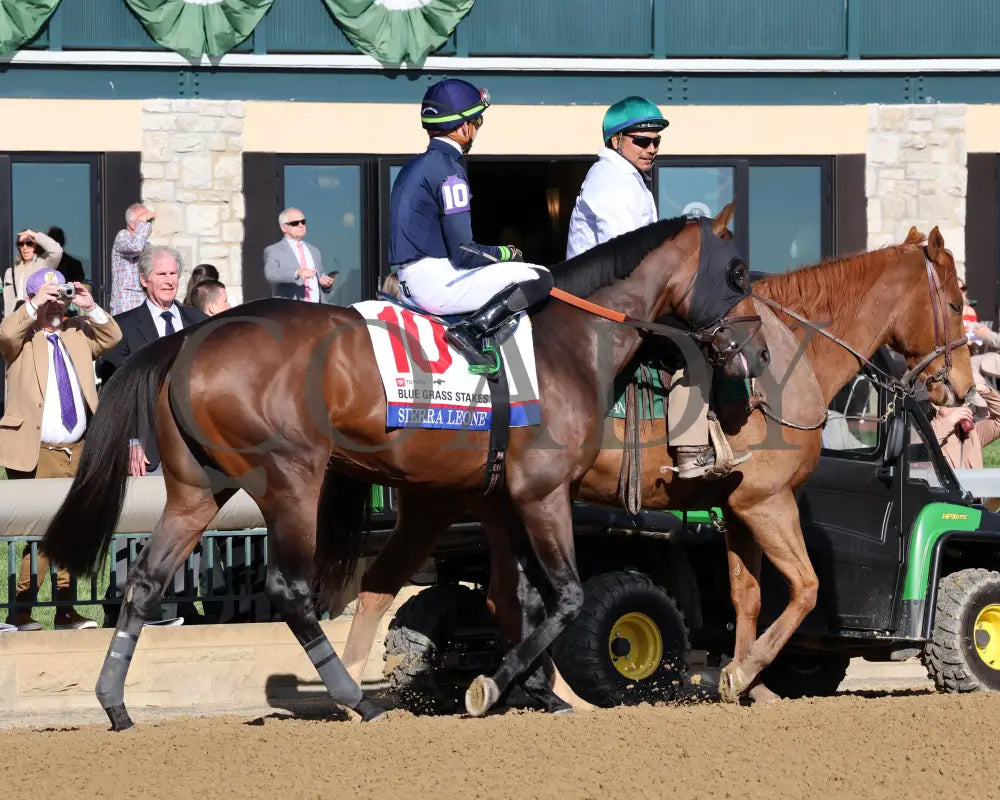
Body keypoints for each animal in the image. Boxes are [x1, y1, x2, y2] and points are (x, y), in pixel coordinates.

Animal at [39, 208, 768, 732]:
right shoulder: (542, 491)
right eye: (737, 273)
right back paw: (357, 698)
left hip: (198, 489)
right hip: (291, 478)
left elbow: (519, 596)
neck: (565, 342)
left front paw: (535, 689)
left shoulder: (498, 498)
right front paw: (492, 686)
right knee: (290, 589)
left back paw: (114, 703)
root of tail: (189, 335)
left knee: (146, 582)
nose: (758, 353)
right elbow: (566, 596)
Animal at [340, 225, 972, 708]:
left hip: (470, 504)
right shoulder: (767, 502)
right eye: (956, 303)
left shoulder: (737, 508)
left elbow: (747, 595)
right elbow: (807, 587)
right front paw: (743, 674)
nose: (966, 387)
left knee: (458, 595)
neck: (781, 365)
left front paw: (748, 682)